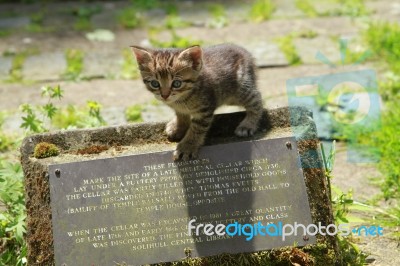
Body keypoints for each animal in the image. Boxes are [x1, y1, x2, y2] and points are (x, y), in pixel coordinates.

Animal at [131, 43, 262, 160]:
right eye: (155, 84)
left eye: (176, 83)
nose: (165, 95)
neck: (182, 99)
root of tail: (247, 54)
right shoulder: (180, 108)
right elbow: (181, 116)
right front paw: (178, 127)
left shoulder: (205, 110)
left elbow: (197, 129)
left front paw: (187, 147)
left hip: (239, 92)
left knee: (257, 100)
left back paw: (247, 125)